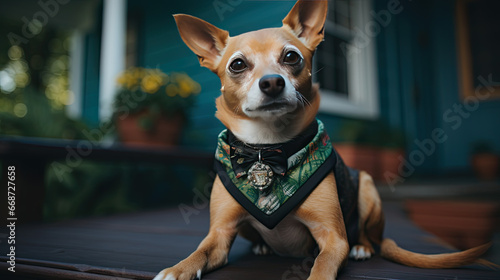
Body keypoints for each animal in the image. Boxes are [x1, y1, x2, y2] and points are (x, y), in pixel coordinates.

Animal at [154, 1, 490, 278]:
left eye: (291, 56)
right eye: (237, 64)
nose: (272, 82)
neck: (267, 148)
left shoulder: (333, 238)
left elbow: (322, 266)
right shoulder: (219, 235)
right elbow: (199, 253)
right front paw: (177, 269)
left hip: (367, 186)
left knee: (367, 234)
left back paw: (363, 247)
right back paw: (262, 246)